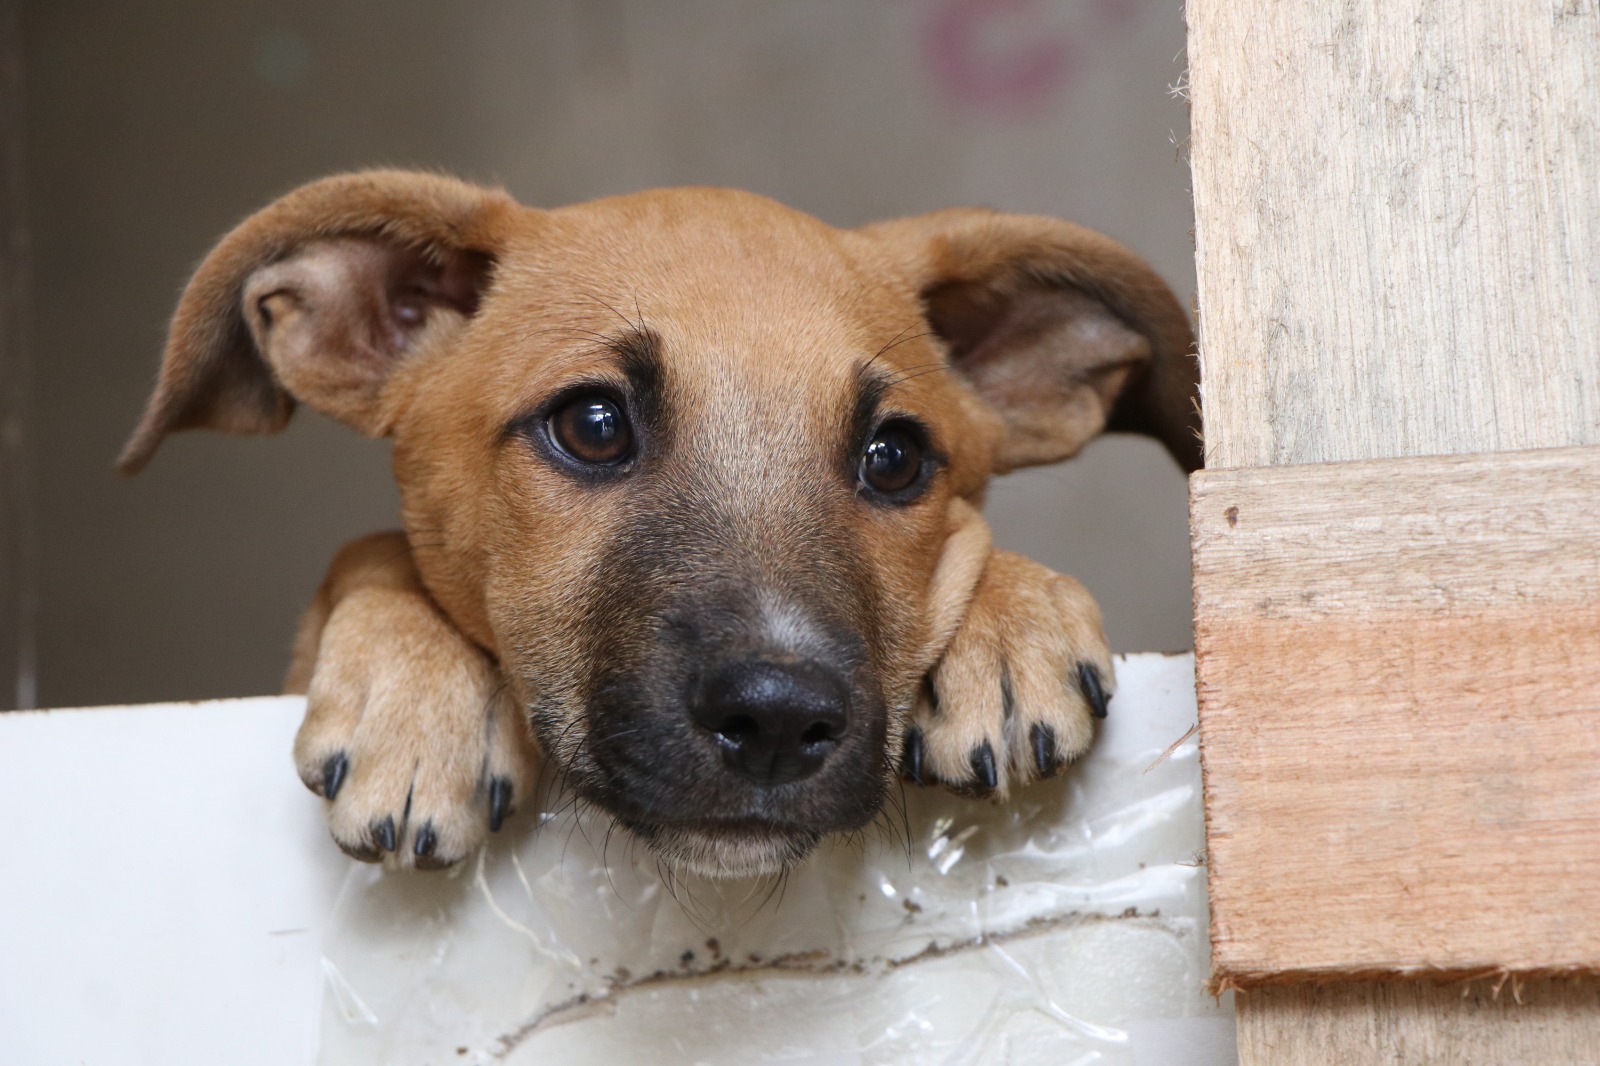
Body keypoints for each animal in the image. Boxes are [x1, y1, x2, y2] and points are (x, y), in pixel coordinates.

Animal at [121, 172, 1203, 870]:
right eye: (592, 426)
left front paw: (1010, 623)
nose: (777, 721)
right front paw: (419, 706)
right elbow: (373, 549)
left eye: (894, 458)